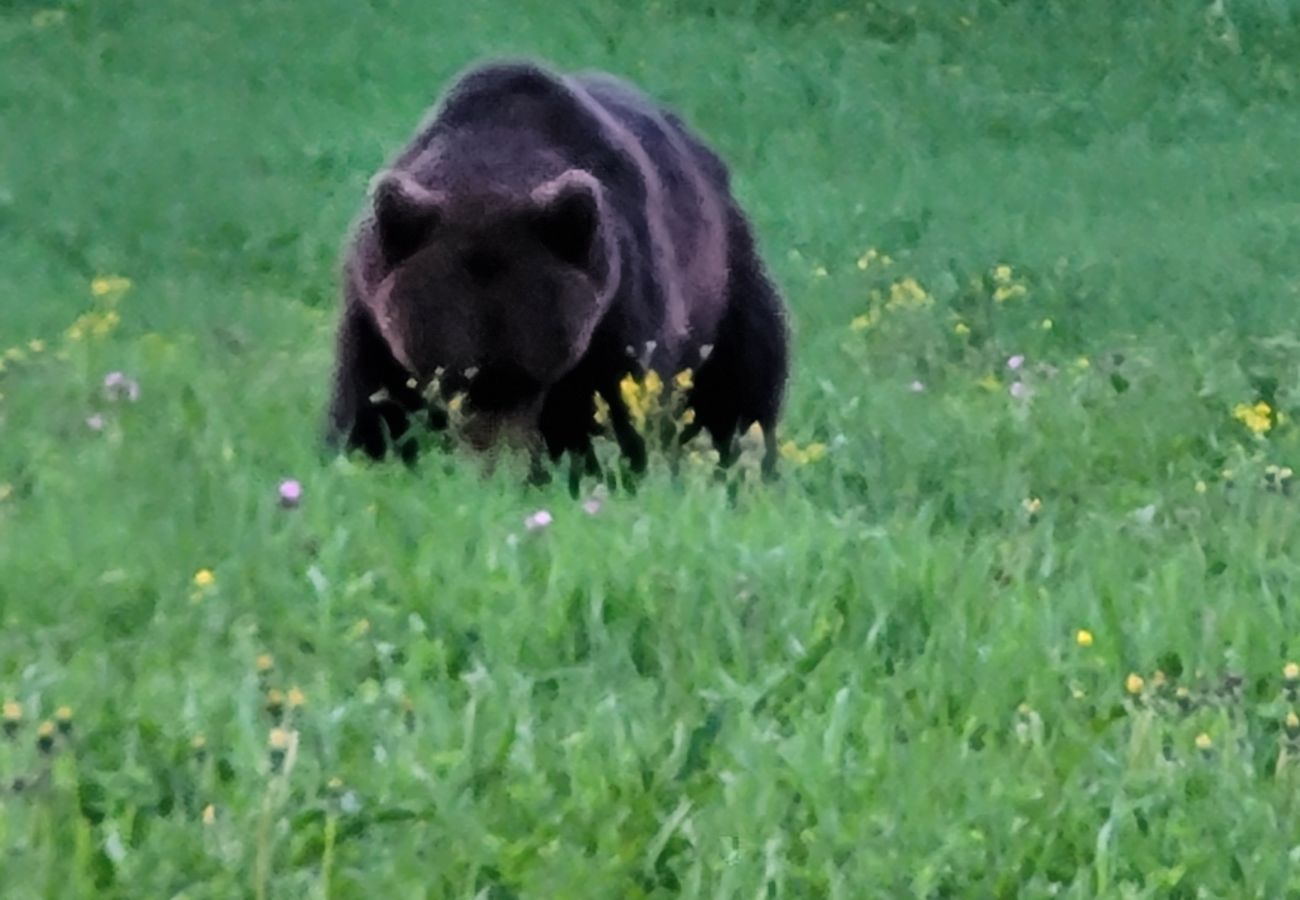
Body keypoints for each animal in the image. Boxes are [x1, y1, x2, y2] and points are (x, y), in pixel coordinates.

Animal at [325, 57, 790, 491]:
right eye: (449, 375)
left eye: (532, 376)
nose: (496, 468)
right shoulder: (371, 313)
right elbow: (369, 405)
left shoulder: (616, 305)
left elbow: (618, 403)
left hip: (726, 288)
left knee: (742, 390)